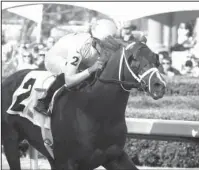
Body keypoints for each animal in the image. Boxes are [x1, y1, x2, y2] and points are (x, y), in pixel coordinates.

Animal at [1, 41, 166, 170]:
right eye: (135, 60)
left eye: (156, 60)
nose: (159, 86)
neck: (94, 111)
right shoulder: (68, 162)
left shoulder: (114, 156)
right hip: (10, 140)